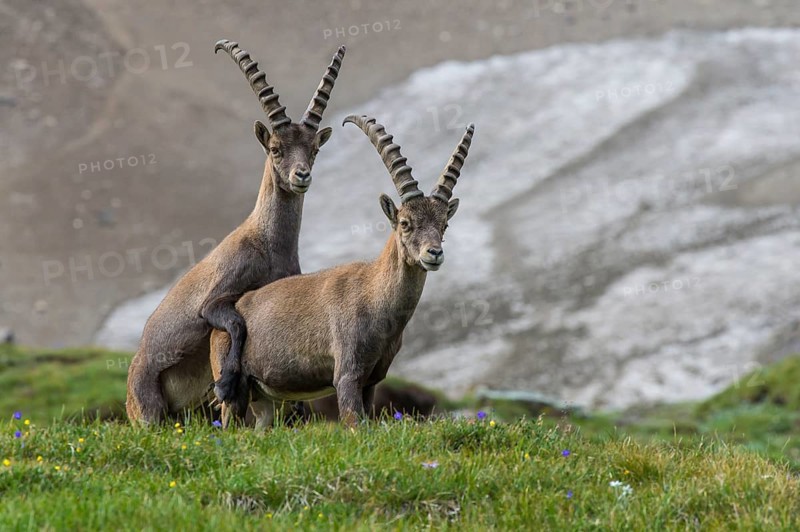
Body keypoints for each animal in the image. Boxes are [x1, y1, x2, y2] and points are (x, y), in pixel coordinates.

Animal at [126, 40, 346, 424]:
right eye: (276, 149)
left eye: (314, 150)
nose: (301, 175)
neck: (269, 246)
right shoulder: (215, 300)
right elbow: (236, 324)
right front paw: (228, 384)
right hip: (148, 407)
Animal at [210, 115, 475, 427]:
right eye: (405, 223)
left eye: (444, 225)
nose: (434, 253)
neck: (375, 296)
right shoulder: (347, 375)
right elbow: (354, 425)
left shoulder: (371, 381)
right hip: (234, 391)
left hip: (265, 398)